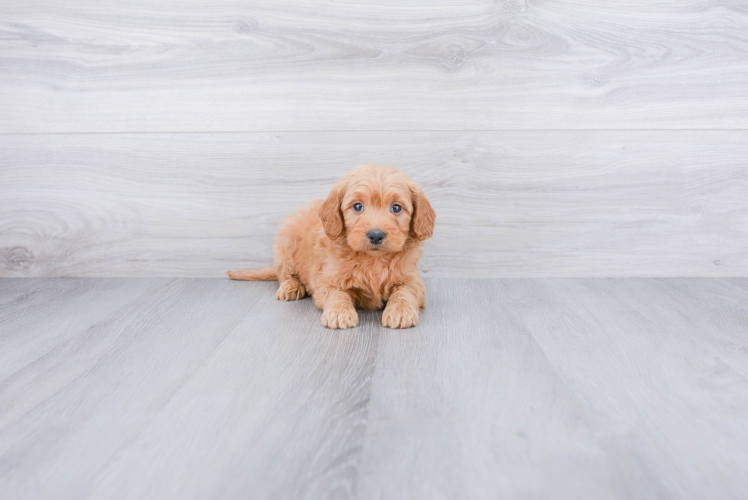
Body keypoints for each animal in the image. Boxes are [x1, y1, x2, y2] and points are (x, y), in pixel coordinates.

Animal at [226, 162, 432, 330]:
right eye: (358, 206)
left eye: (396, 208)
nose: (375, 235)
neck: (373, 260)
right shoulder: (327, 280)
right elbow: (337, 294)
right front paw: (340, 312)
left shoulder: (412, 280)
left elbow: (404, 293)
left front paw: (401, 312)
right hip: (286, 241)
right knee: (286, 274)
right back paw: (290, 287)